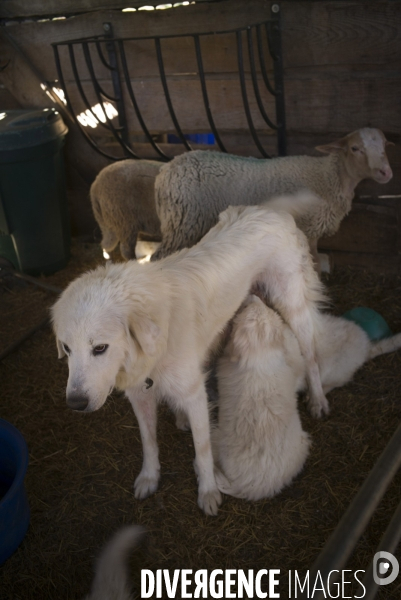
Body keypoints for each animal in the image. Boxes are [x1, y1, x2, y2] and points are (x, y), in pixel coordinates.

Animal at [52, 203, 328, 516]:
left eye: (100, 348)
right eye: (66, 348)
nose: (75, 404)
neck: (155, 344)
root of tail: (271, 210)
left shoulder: (196, 395)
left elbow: (203, 449)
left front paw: (208, 492)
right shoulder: (140, 395)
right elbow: (148, 441)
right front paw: (149, 477)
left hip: (293, 308)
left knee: (311, 356)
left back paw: (318, 400)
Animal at [152, 127, 392, 262]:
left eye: (385, 145)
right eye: (354, 148)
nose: (386, 172)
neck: (327, 176)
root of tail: (165, 170)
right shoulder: (309, 227)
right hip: (183, 223)